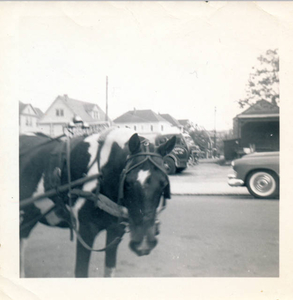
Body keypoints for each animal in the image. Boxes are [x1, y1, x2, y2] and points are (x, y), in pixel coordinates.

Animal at [20, 127, 176, 278]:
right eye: (128, 183)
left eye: (163, 184)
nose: (144, 244)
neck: (101, 174)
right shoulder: (85, 231)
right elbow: (81, 272)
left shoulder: (115, 231)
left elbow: (109, 270)